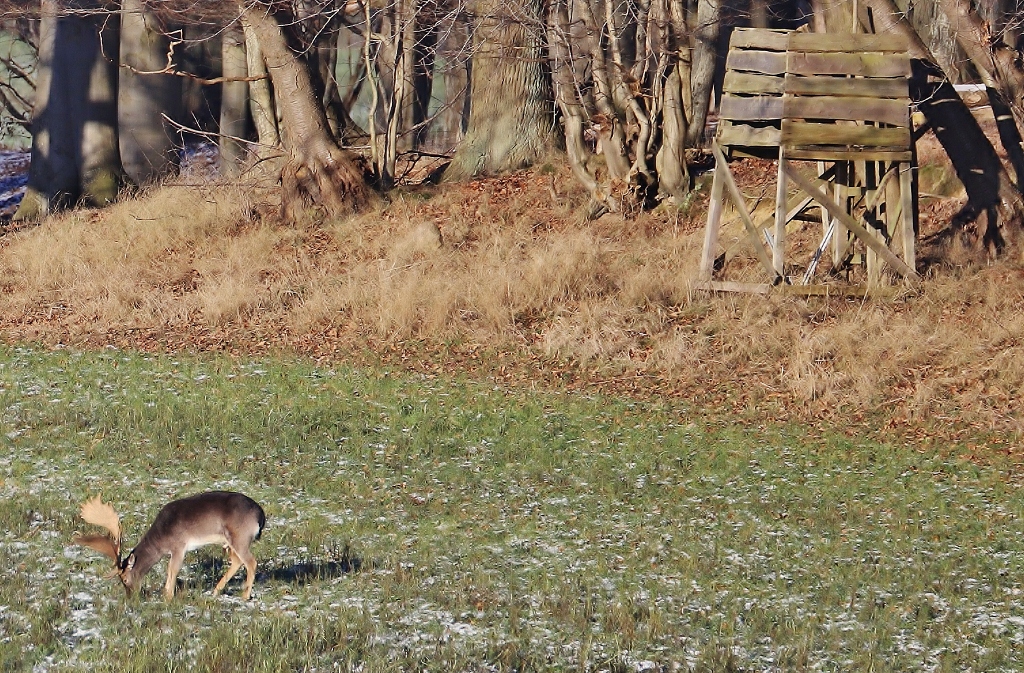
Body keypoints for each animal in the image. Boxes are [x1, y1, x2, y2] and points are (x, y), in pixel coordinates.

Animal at [75, 487, 268, 598]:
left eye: (124, 578)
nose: (131, 596)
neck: (161, 538)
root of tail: (260, 515)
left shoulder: (179, 546)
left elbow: (172, 569)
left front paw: (168, 596)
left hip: (240, 537)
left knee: (251, 562)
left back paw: (245, 596)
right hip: (229, 542)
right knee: (237, 561)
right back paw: (215, 591)